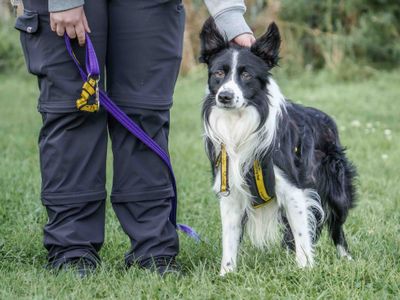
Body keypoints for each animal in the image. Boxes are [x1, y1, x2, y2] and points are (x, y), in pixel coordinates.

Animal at [200, 19, 356, 276]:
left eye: (246, 74)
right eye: (218, 73)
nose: (224, 96)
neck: (240, 123)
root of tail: (327, 119)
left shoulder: (293, 189)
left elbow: (302, 232)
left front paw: (305, 268)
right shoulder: (231, 190)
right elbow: (229, 237)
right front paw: (226, 273)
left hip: (337, 189)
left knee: (336, 225)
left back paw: (346, 258)